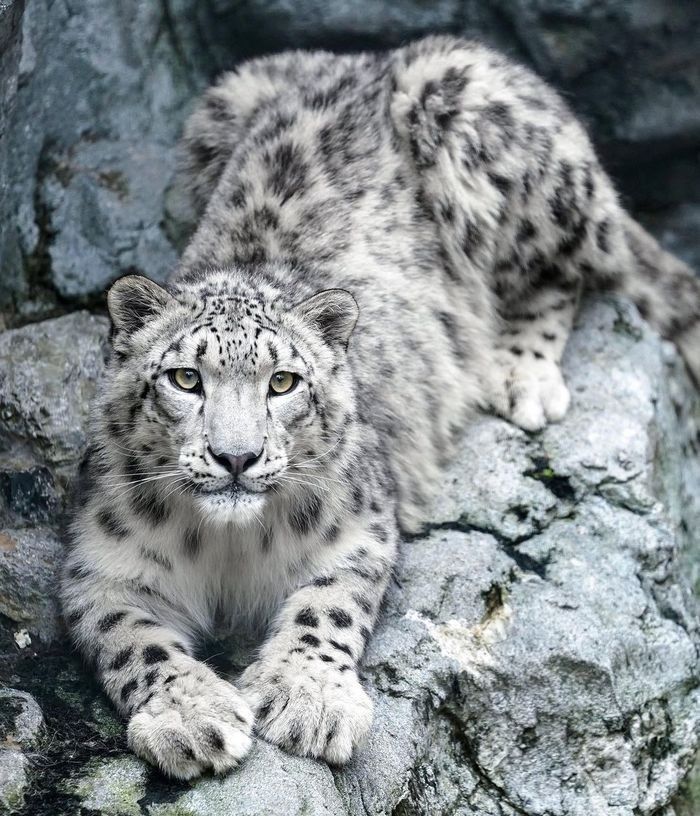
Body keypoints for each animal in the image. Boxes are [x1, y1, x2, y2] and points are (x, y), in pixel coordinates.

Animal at [61, 35, 700, 780]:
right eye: (186, 379)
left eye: (283, 383)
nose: (236, 457)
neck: (228, 547)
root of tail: (370, 56)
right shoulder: (100, 563)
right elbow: (131, 638)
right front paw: (193, 718)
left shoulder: (359, 528)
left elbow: (327, 605)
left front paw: (308, 701)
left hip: (483, 122)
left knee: (577, 264)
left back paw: (520, 373)